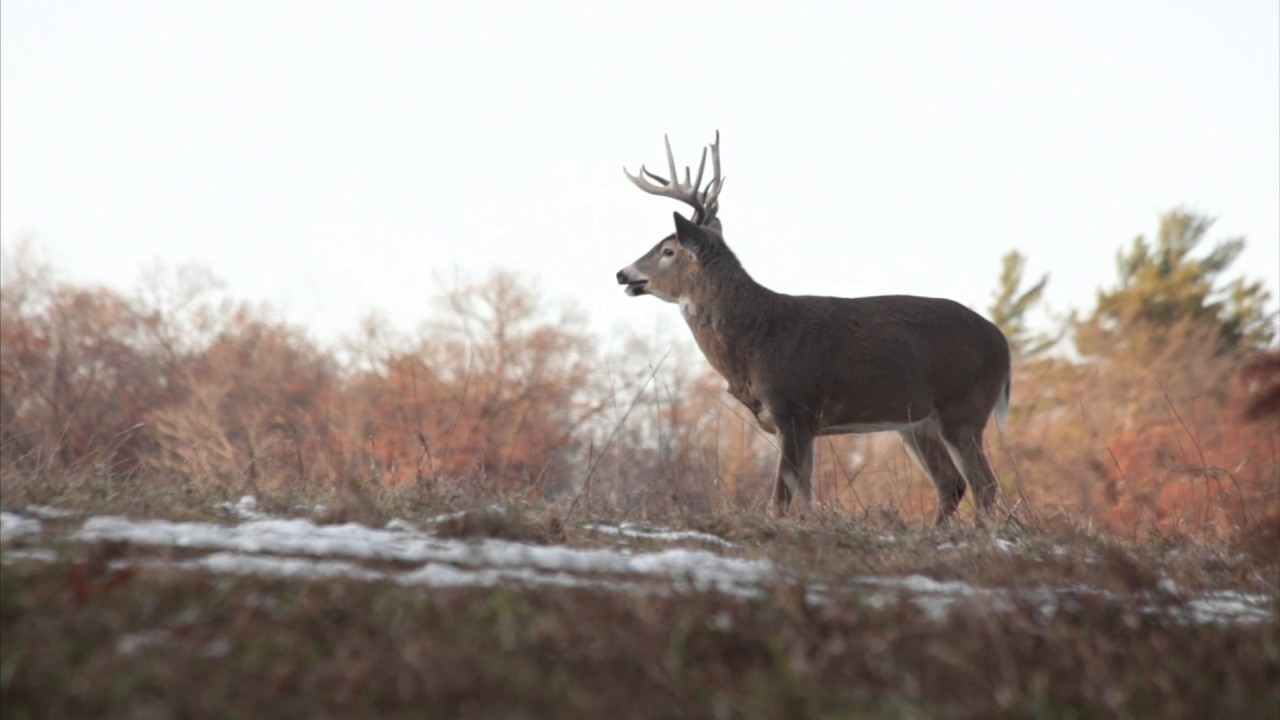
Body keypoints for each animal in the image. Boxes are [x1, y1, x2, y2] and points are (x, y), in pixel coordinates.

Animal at [614, 130, 1013, 520]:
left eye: (668, 250)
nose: (622, 273)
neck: (755, 338)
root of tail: (1002, 343)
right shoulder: (803, 424)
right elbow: (806, 499)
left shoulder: (794, 407)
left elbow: (779, 501)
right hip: (917, 422)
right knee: (951, 485)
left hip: (963, 407)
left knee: (985, 485)